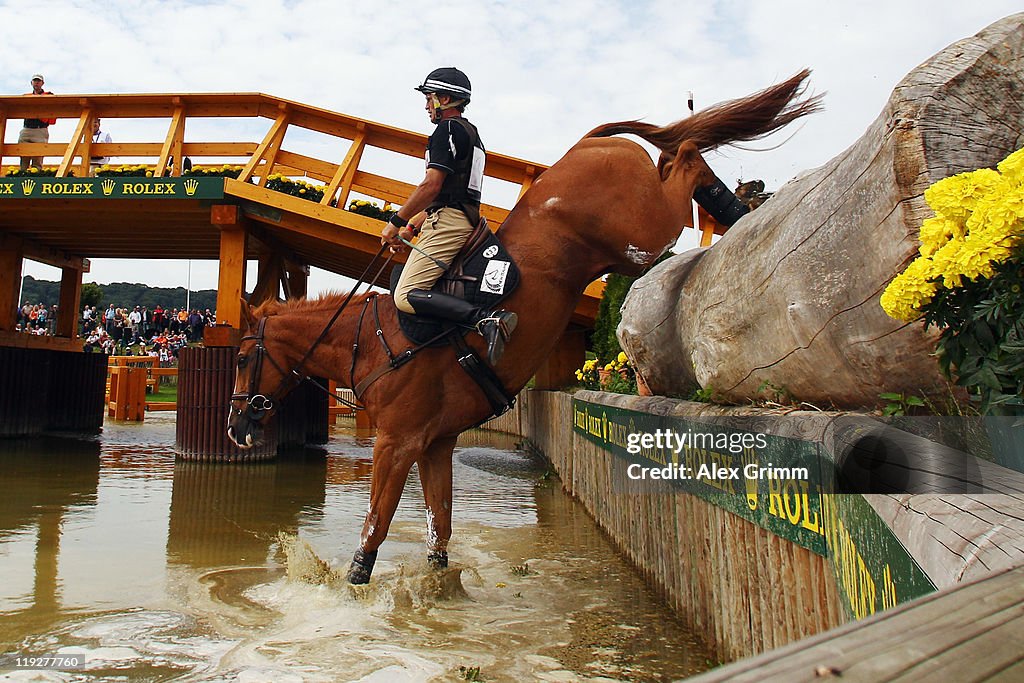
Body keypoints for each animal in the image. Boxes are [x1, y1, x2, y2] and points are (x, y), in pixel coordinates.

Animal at [228, 69, 819, 585]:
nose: (236, 428)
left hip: (642, 234)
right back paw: (734, 201)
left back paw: (735, 197)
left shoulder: (396, 443)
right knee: (681, 155)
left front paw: (356, 583)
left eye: (239, 358)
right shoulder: (435, 443)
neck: (371, 343)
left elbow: (374, 528)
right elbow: (438, 531)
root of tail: (587, 144)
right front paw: (437, 586)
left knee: (687, 157)